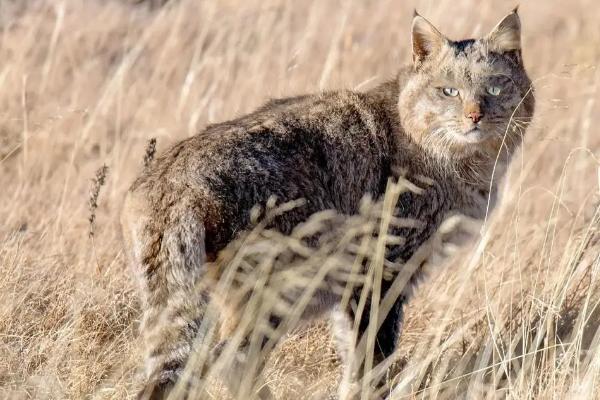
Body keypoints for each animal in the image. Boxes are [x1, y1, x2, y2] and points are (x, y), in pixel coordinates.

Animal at [120, 8, 536, 400]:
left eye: (495, 88)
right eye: (448, 91)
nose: (475, 115)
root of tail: (169, 179)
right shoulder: (380, 271)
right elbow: (372, 359)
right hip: (282, 286)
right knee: (228, 357)